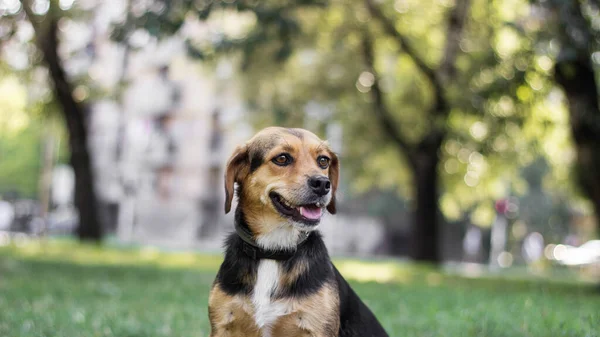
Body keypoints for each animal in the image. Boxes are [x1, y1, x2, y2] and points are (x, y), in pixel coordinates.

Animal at [210, 126, 390, 336]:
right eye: (282, 158)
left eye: (323, 160)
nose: (323, 184)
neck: (273, 251)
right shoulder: (222, 325)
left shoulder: (317, 328)